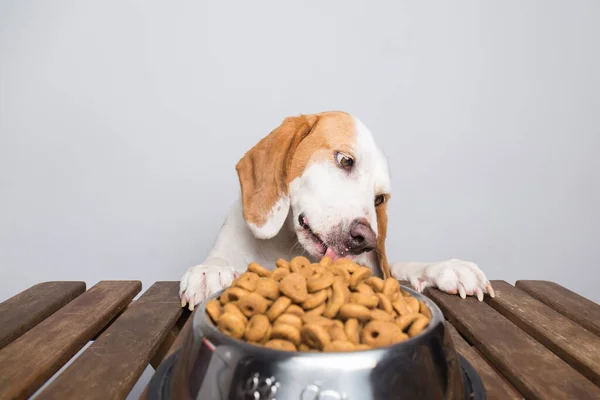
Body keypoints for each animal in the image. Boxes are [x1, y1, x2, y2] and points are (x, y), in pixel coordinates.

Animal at [179, 111, 496, 310]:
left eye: (379, 199)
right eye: (345, 160)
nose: (366, 240)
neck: (286, 247)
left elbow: (399, 267)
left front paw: (446, 267)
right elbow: (218, 260)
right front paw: (209, 271)